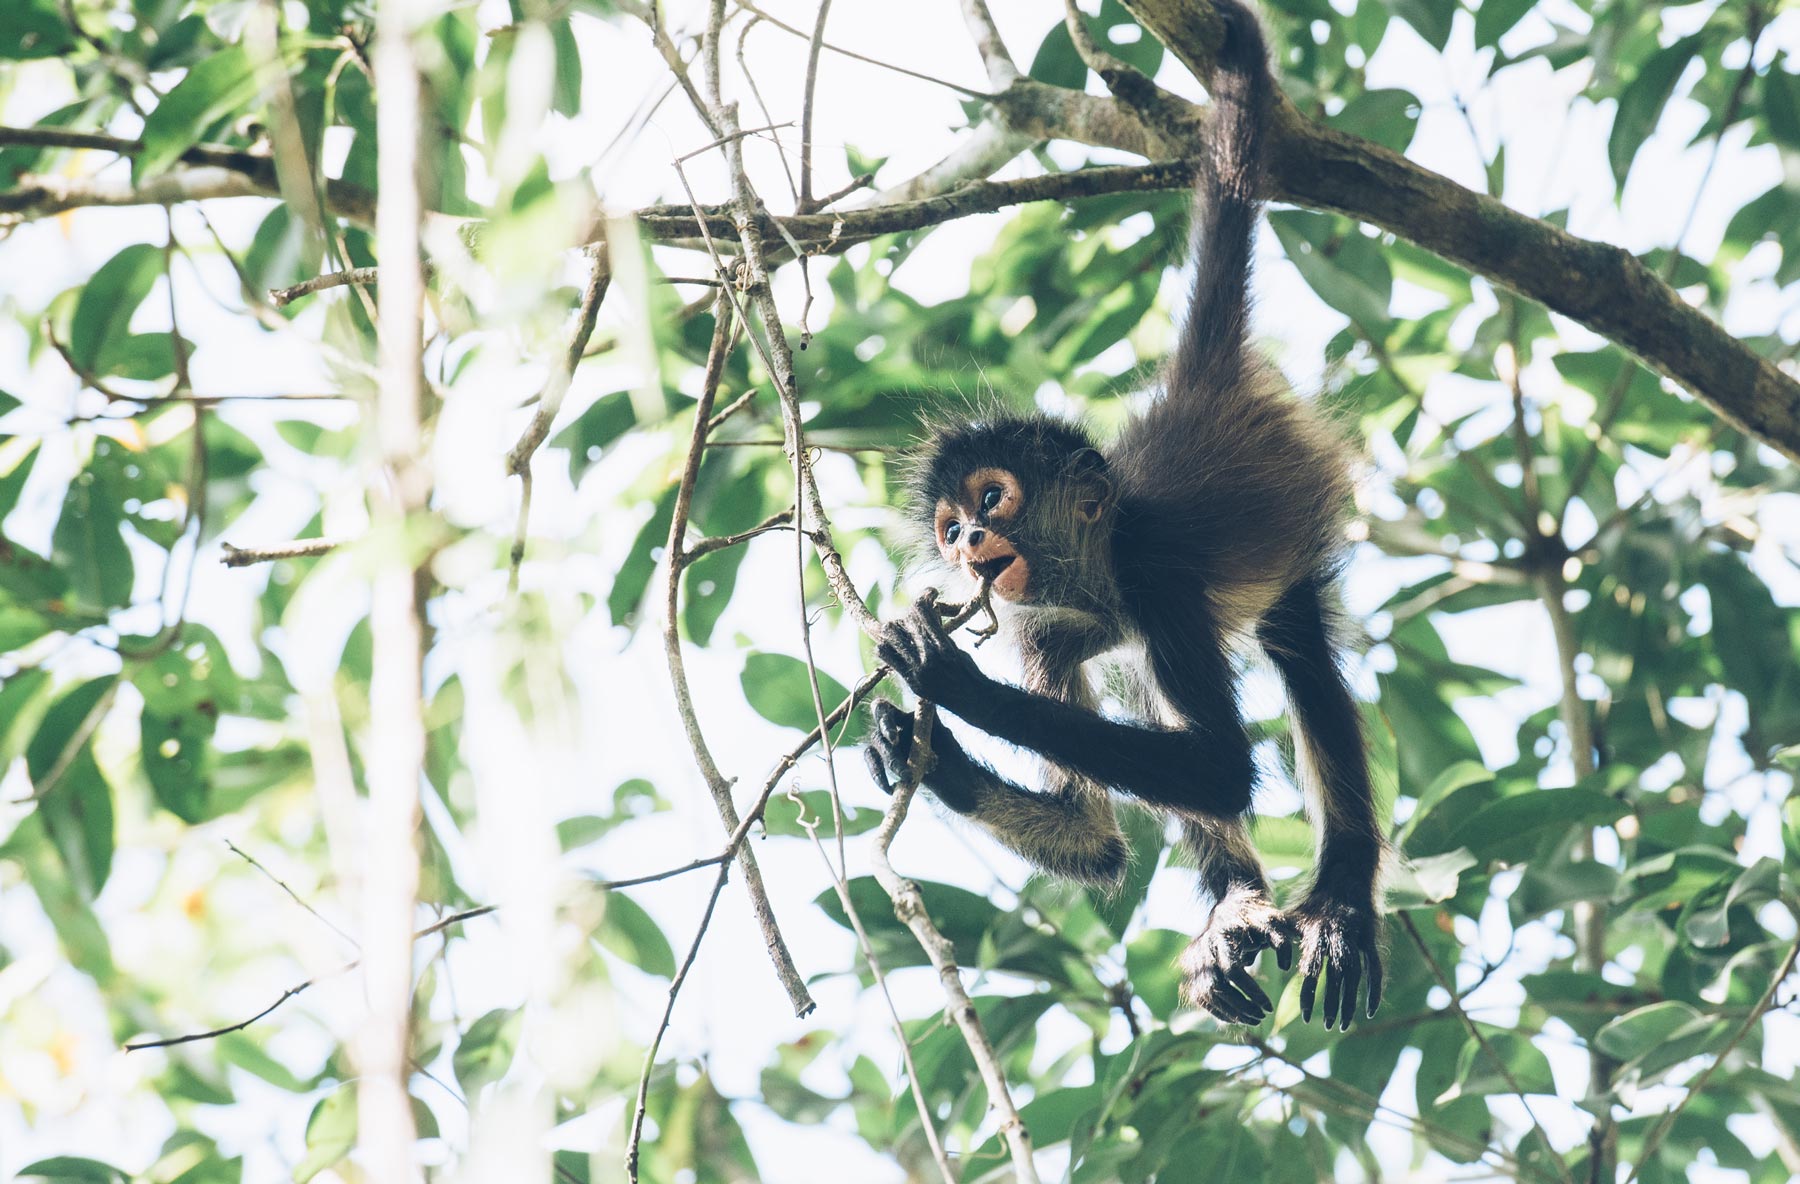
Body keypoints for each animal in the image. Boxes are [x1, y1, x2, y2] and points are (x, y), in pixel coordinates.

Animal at [864, 0, 1382, 1029]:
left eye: (992, 498)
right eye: (949, 526)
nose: (970, 539)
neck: (1108, 546)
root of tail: (1195, 392)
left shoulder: (1155, 575)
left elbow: (1223, 767)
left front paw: (951, 683)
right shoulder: (1042, 620)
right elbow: (1097, 841)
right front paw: (916, 752)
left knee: (1297, 653)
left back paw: (1341, 896)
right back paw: (1234, 906)